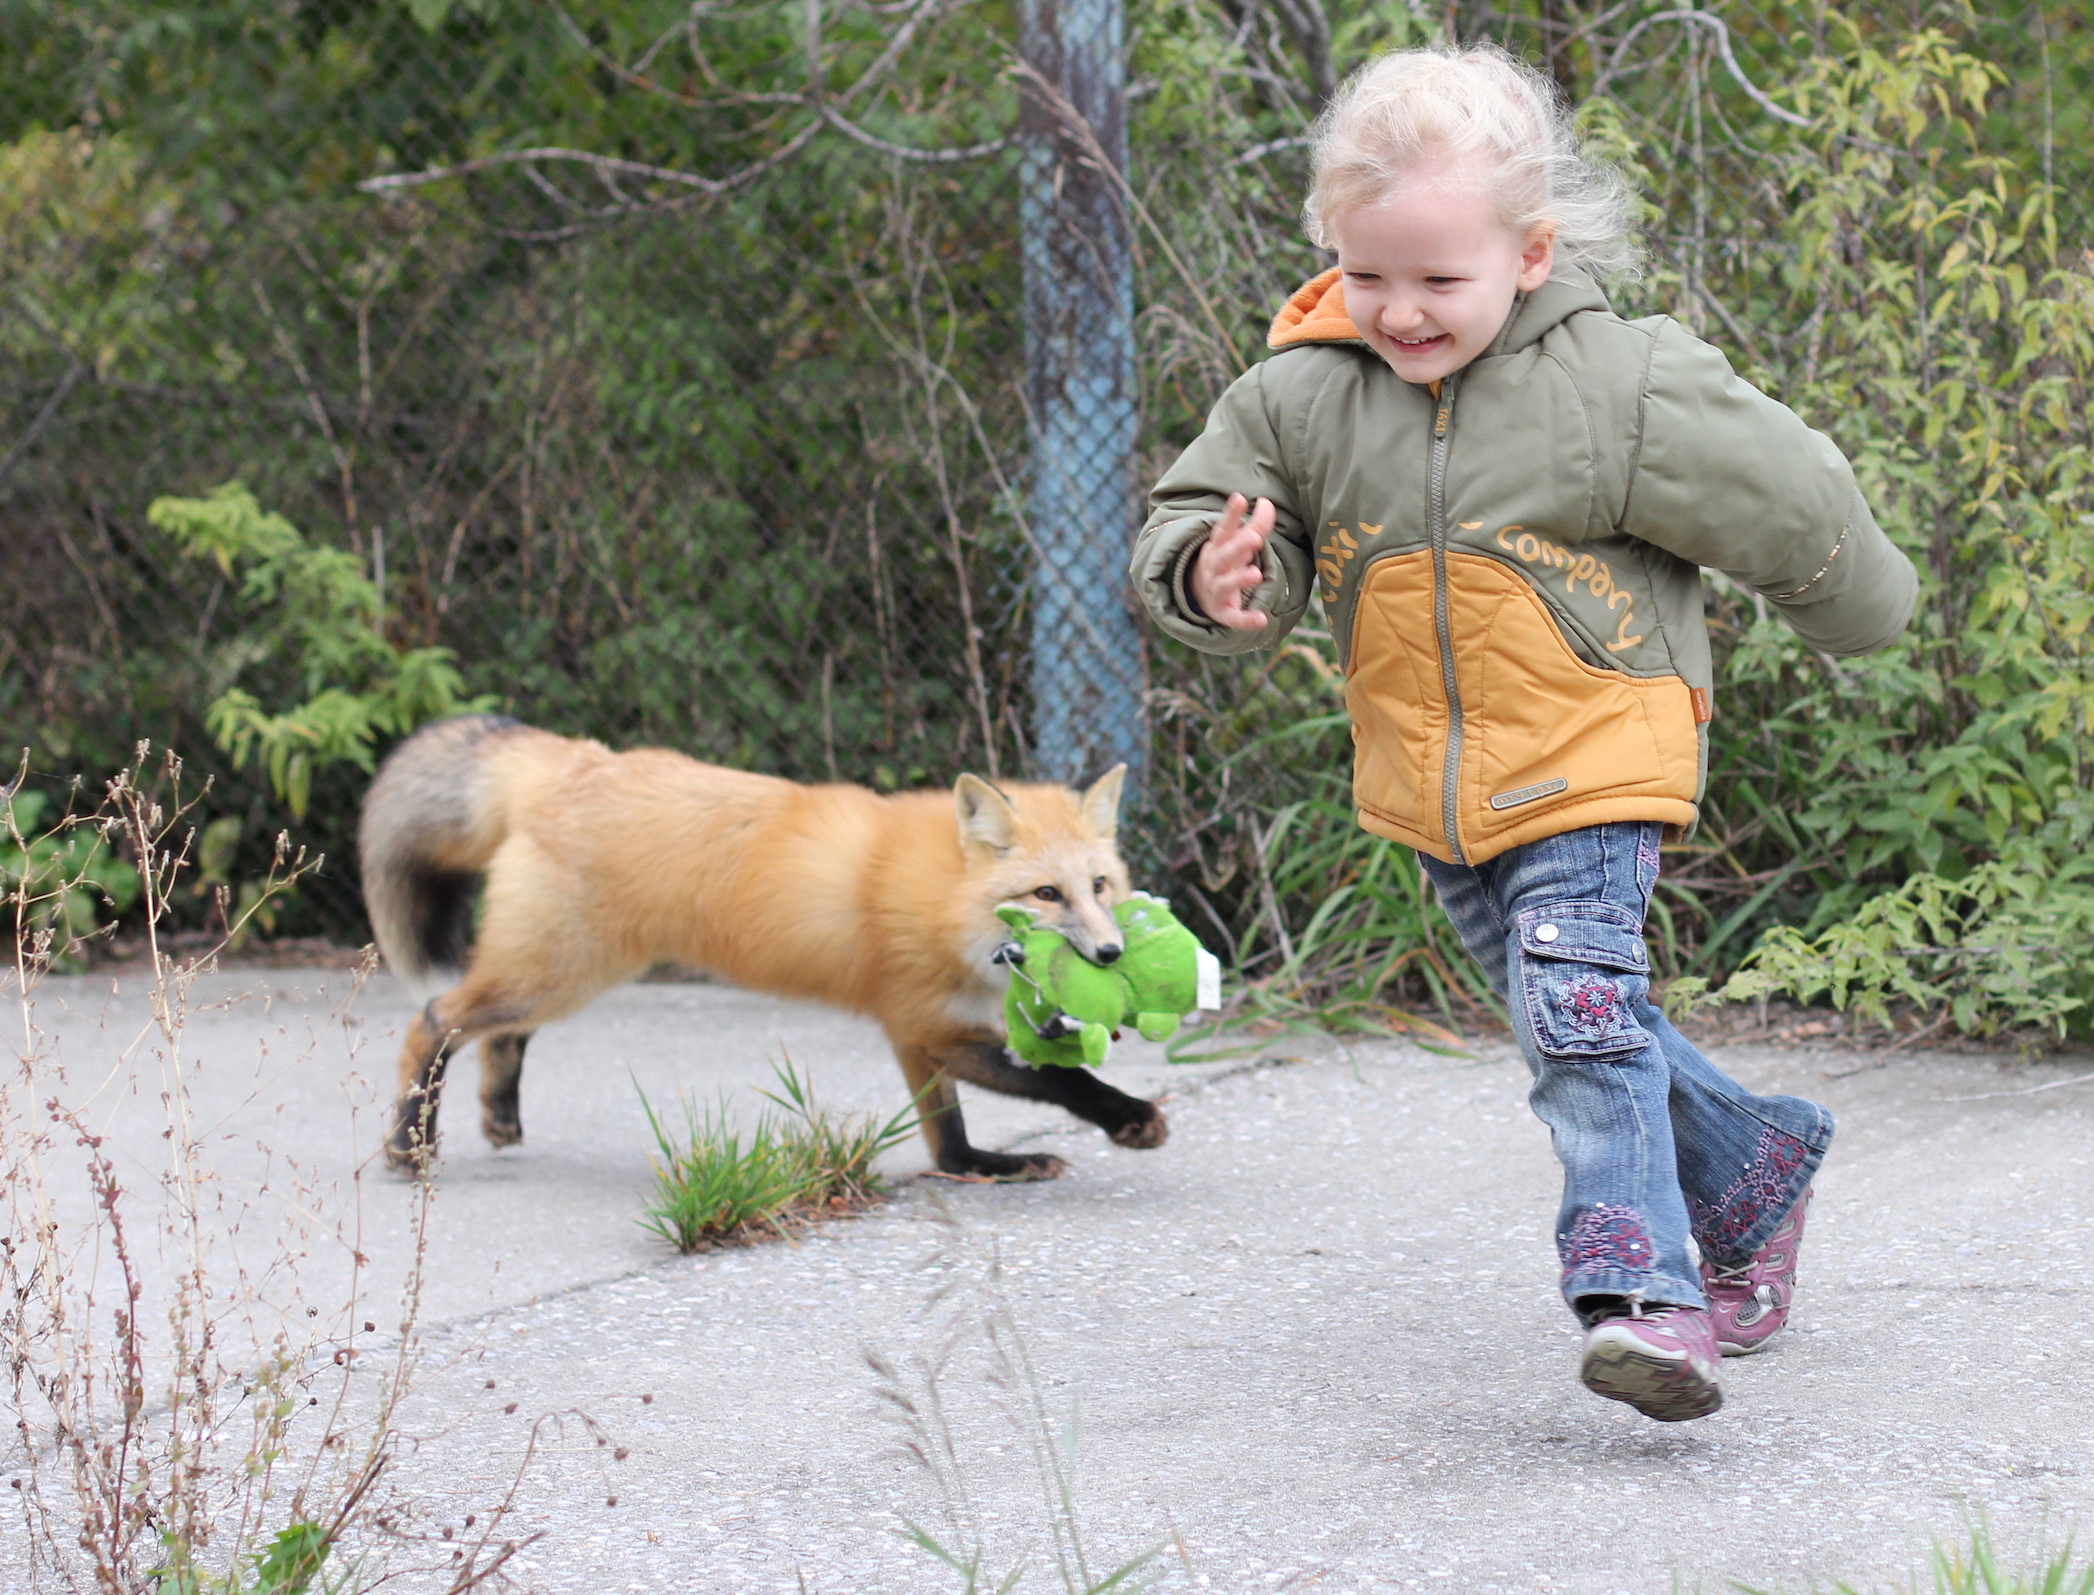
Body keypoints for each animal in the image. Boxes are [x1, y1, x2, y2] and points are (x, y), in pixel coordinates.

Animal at [357, 715, 1169, 1180]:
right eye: (1047, 894)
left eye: (1100, 885)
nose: (1109, 954)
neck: (946, 903)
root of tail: (579, 761)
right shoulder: (925, 1022)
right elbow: (1061, 1079)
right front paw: (1128, 1116)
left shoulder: (916, 1032)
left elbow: (948, 1140)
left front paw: (989, 1166)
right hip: (557, 971)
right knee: (435, 1020)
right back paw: (407, 1145)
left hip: (564, 973)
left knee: (499, 1033)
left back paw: (496, 1113)